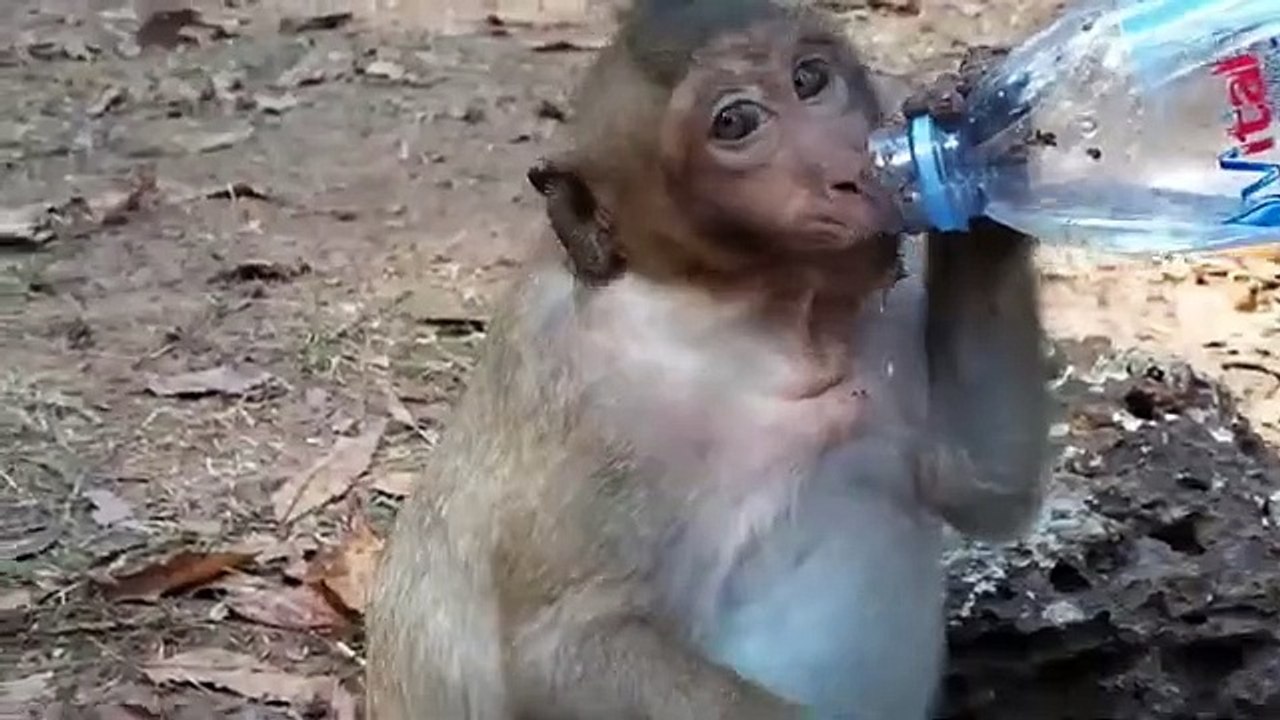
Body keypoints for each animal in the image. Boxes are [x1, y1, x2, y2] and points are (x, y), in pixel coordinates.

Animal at [364, 0, 1049, 717]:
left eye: (809, 79)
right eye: (736, 123)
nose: (851, 170)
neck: (761, 318)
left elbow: (974, 485)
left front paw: (974, 141)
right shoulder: (590, 398)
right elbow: (565, 651)